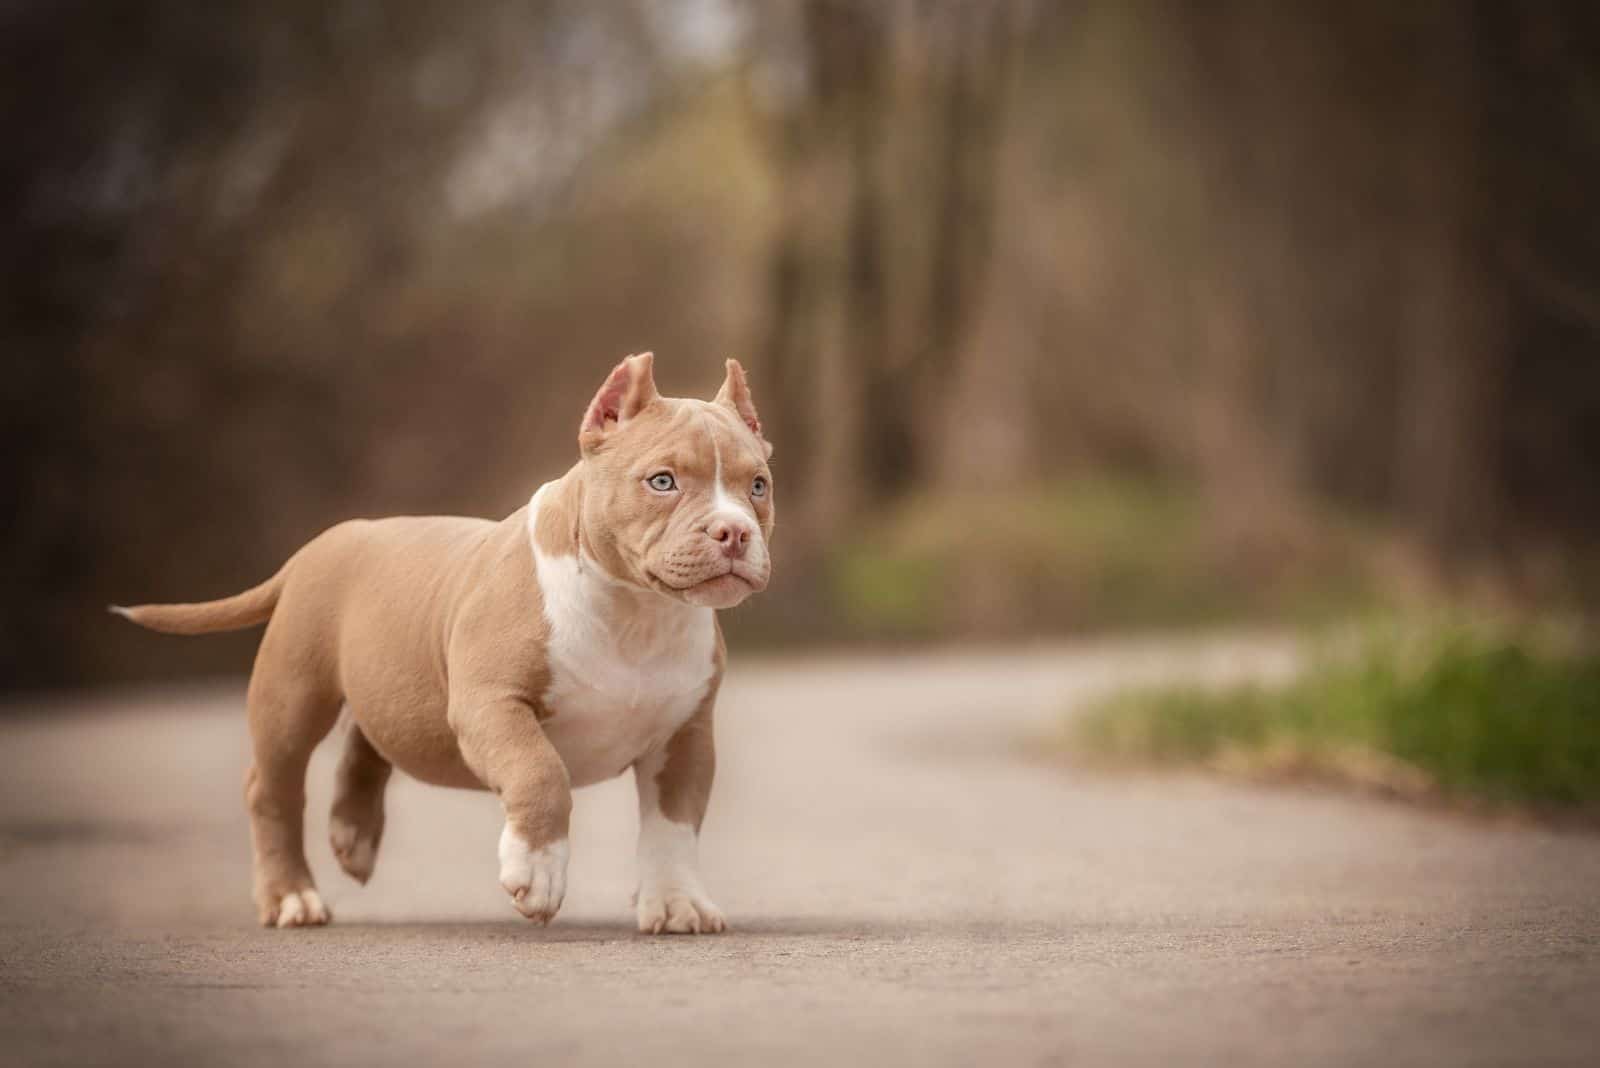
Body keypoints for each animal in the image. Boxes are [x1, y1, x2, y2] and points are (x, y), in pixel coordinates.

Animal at [114, 354, 774, 927]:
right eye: (662, 481)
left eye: (759, 486)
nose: (734, 532)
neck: (637, 611)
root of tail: (320, 545)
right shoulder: (492, 705)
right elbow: (542, 773)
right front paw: (536, 871)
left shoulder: (683, 737)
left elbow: (673, 825)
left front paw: (677, 901)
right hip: (292, 697)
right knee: (272, 790)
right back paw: (291, 897)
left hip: (391, 680)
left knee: (369, 740)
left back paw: (353, 835)